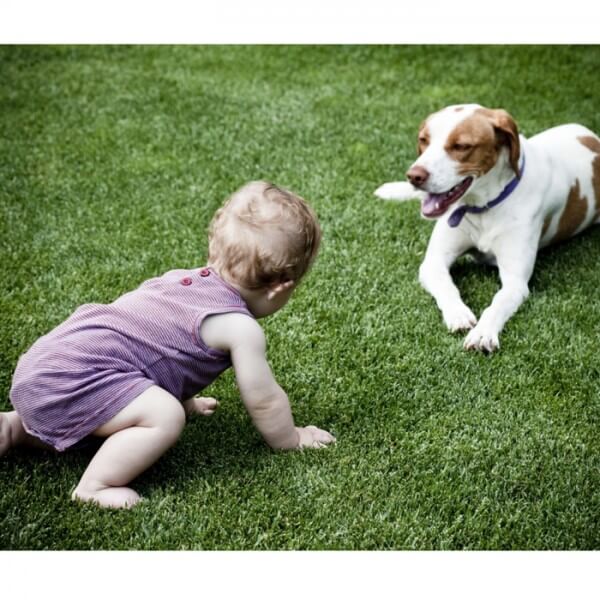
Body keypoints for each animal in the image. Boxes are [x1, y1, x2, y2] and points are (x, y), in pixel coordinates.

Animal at [376, 103, 600, 352]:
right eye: (424, 140)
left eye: (461, 146)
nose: (414, 176)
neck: (483, 206)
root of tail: (591, 137)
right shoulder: (433, 263)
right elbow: (446, 285)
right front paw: (458, 314)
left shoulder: (515, 282)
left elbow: (497, 303)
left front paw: (483, 333)